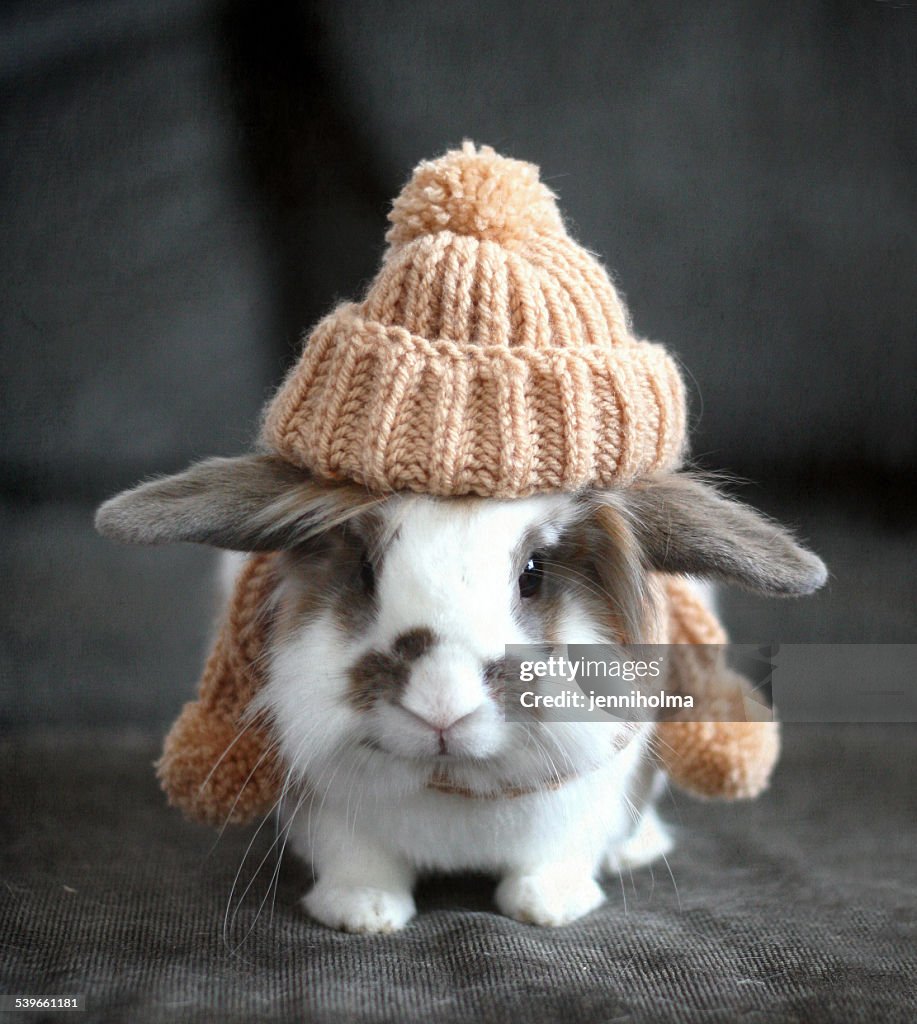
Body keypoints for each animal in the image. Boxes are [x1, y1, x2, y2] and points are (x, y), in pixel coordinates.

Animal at [96, 456, 826, 937]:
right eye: (365, 571)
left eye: (533, 575)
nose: (440, 707)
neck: (456, 779)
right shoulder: (327, 808)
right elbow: (357, 861)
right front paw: (364, 914)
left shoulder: (586, 802)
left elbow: (558, 854)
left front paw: (549, 906)